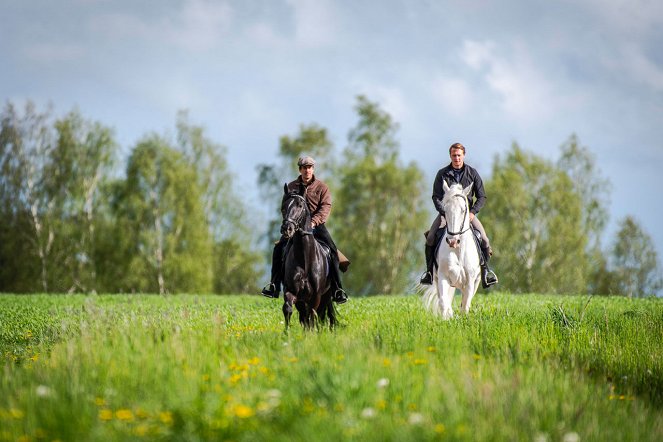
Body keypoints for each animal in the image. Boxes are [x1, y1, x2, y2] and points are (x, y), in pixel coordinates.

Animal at [280, 185, 338, 330]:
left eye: (300, 205)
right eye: (283, 206)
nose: (287, 228)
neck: (304, 259)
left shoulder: (315, 296)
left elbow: (312, 315)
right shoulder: (292, 291)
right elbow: (288, 309)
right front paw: (287, 332)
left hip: (326, 295)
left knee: (322, 314)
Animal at [422, 181, 480, 320]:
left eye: (463, 210)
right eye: (445, 210)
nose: (452, 241)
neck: (458, 251)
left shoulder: (470, 281)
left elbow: (465, 305)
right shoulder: (443, 277)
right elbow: (444, 302)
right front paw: (447, 318)